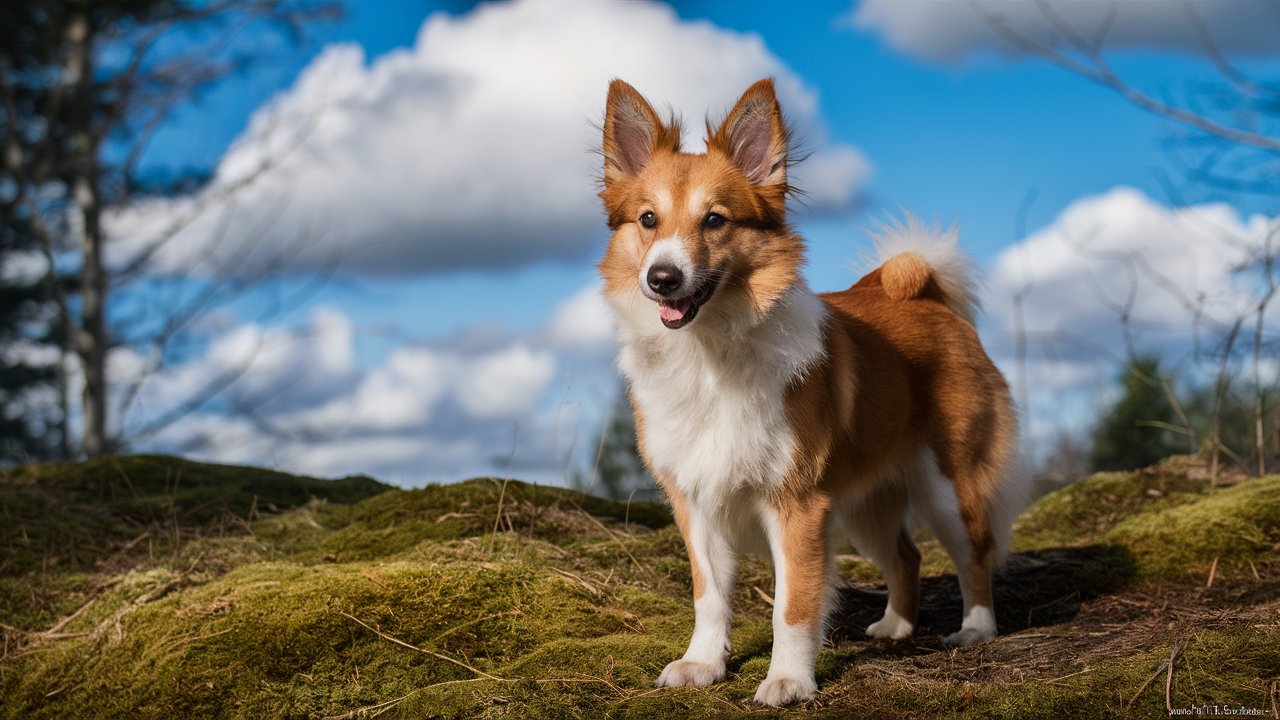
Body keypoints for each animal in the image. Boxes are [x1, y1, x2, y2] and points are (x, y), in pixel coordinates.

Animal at [593, 77, 1024, 702]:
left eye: (715, 220)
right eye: (648, 219)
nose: (663, 278)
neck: (710, 352)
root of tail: (918, 292)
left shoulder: (797, 504)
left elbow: (792, 606)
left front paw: (789, 679)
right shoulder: (696, 503)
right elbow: (709, 597)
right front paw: (703, 663)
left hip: (949, 485)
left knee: (975, 553)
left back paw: (976, 629)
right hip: (865, 505)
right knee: (906, 556)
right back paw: (896, 626)